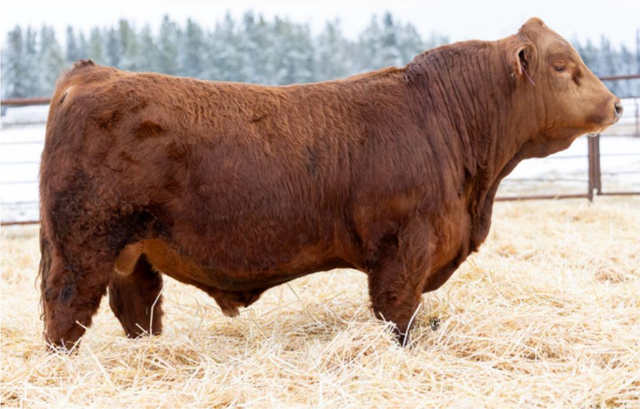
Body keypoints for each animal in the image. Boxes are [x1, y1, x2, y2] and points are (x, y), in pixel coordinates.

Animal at [39, 18, 622, 350]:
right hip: (82, 246)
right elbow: (398, 314)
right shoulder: (404, 247)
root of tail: (94, 74)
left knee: (138, 311)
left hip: (134, 253)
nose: (616, 103)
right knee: (64, 314)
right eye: (562, 65)